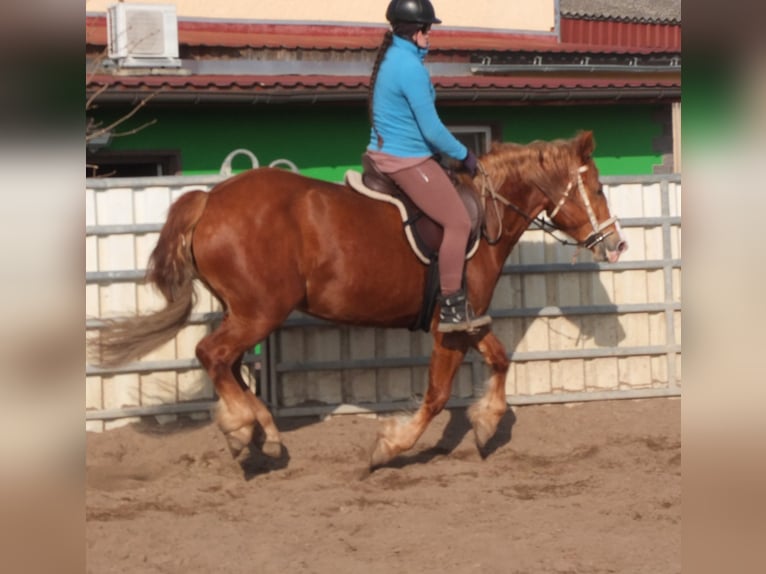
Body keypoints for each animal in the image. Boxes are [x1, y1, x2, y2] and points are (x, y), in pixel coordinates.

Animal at [93, 133, 628, 470]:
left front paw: (485, 424)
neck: (484, 214)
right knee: (213, 355)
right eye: (597, 187)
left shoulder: (469, 320)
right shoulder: (449, 327)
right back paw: (248, 430)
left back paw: (258, 433)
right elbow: (436, 395)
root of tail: (210, 198)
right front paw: (391, 446)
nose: (616, 244)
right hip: (258, 312)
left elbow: (499, 361)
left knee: (231, 366)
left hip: (242, 311)